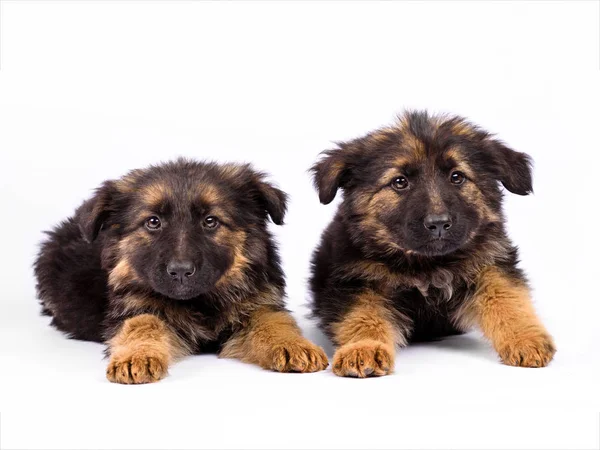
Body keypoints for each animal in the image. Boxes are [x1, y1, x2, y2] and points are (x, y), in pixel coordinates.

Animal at [36, 158, 328, 384]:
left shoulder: (256, 303)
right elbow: (142, 324)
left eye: (210, 221)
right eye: (153, 222)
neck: (200, 302)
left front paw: (293, 345)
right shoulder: (133, 305)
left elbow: (272, 320)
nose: (180, 272)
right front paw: (136, 356)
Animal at [312, 111, 556, 376]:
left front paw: (526, 339)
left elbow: (506, 298)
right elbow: (363, 317)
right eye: (400, 182)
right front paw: (363, 349)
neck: (427, 264)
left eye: (457, 177)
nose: (439, 224)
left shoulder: (489, 262)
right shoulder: (357, 282)